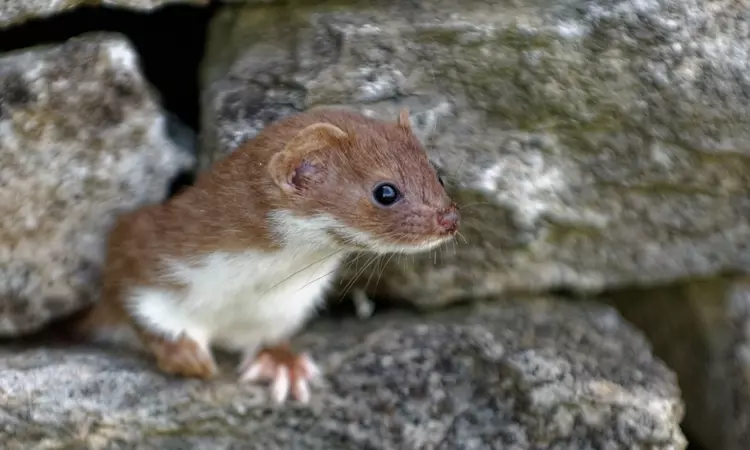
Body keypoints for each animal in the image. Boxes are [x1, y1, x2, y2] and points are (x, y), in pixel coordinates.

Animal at [75, 108, 458, 404]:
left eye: (437, 175)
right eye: (386, 191)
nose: (449, 218)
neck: (245, 291)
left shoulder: (281, 307)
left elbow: (268, 336)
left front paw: (281, 362)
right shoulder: (143, 249)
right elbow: (138, 306)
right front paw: (183, 353)